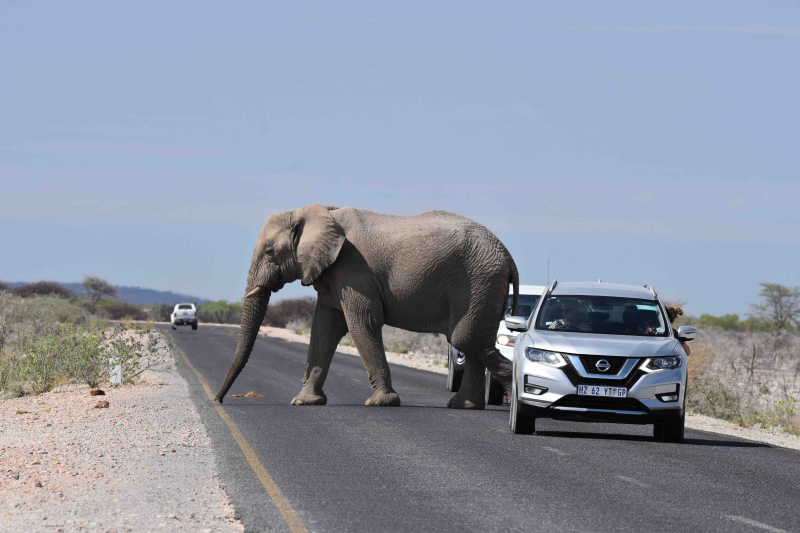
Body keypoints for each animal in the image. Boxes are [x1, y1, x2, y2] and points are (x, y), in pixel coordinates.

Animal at [216, 204, 520, 408]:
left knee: (465, 339)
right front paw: (304, 402)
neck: (315, 212)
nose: (219, 400)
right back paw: (465, 406)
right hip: (482, 286)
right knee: (471, 342)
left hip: (478, 282)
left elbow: (362, 322)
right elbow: (324, 328)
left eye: (270, 251)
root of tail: (507, 255)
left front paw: (381, 402)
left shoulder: (354, 269)